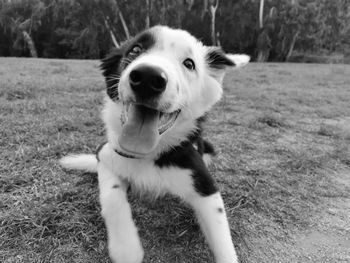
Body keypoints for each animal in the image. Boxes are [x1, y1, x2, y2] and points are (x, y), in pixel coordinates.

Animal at [61, 25, 250, 263]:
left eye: (189, 63)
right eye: (135, 50)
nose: (147, 78)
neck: (148, 154)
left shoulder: (204, 184)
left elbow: (223, 241)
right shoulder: (105, 154)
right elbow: (111, 197)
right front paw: (126, 247)